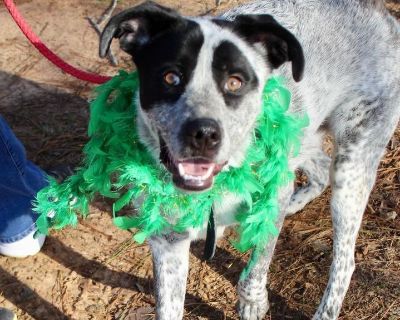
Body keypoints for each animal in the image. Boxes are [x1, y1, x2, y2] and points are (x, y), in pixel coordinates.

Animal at [98, 1, 398, 318]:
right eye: (170, 77)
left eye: (235, 82)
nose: (204, 134)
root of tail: (384, 16)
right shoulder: (168, 241)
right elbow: (168, 306)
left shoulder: (270, 197)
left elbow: (258, 264)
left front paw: (253, 303)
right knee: (318, 167)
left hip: (351, 169)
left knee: (345, 261)